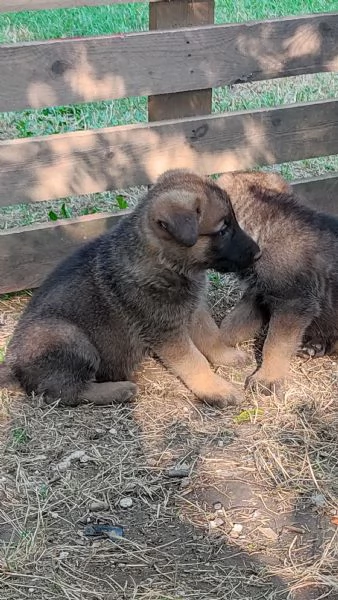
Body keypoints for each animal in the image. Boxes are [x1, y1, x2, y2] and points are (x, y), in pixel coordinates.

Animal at [1, 171, 258, 410]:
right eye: (223, 230)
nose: (258, 253)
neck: (165, 262)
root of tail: (13, 366)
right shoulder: (166, 330)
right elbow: (194, 361)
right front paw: (217, 389)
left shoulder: (194, 308)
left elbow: (211, 335)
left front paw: (227, 356)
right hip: (67, 335)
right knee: (63, 393)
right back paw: (119, 389)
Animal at [218, 170, 338, 394]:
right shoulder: (257, 295)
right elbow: (231, 324)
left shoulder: (293, 303)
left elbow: (275, 344)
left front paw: (266, 379)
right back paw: (314, 346)